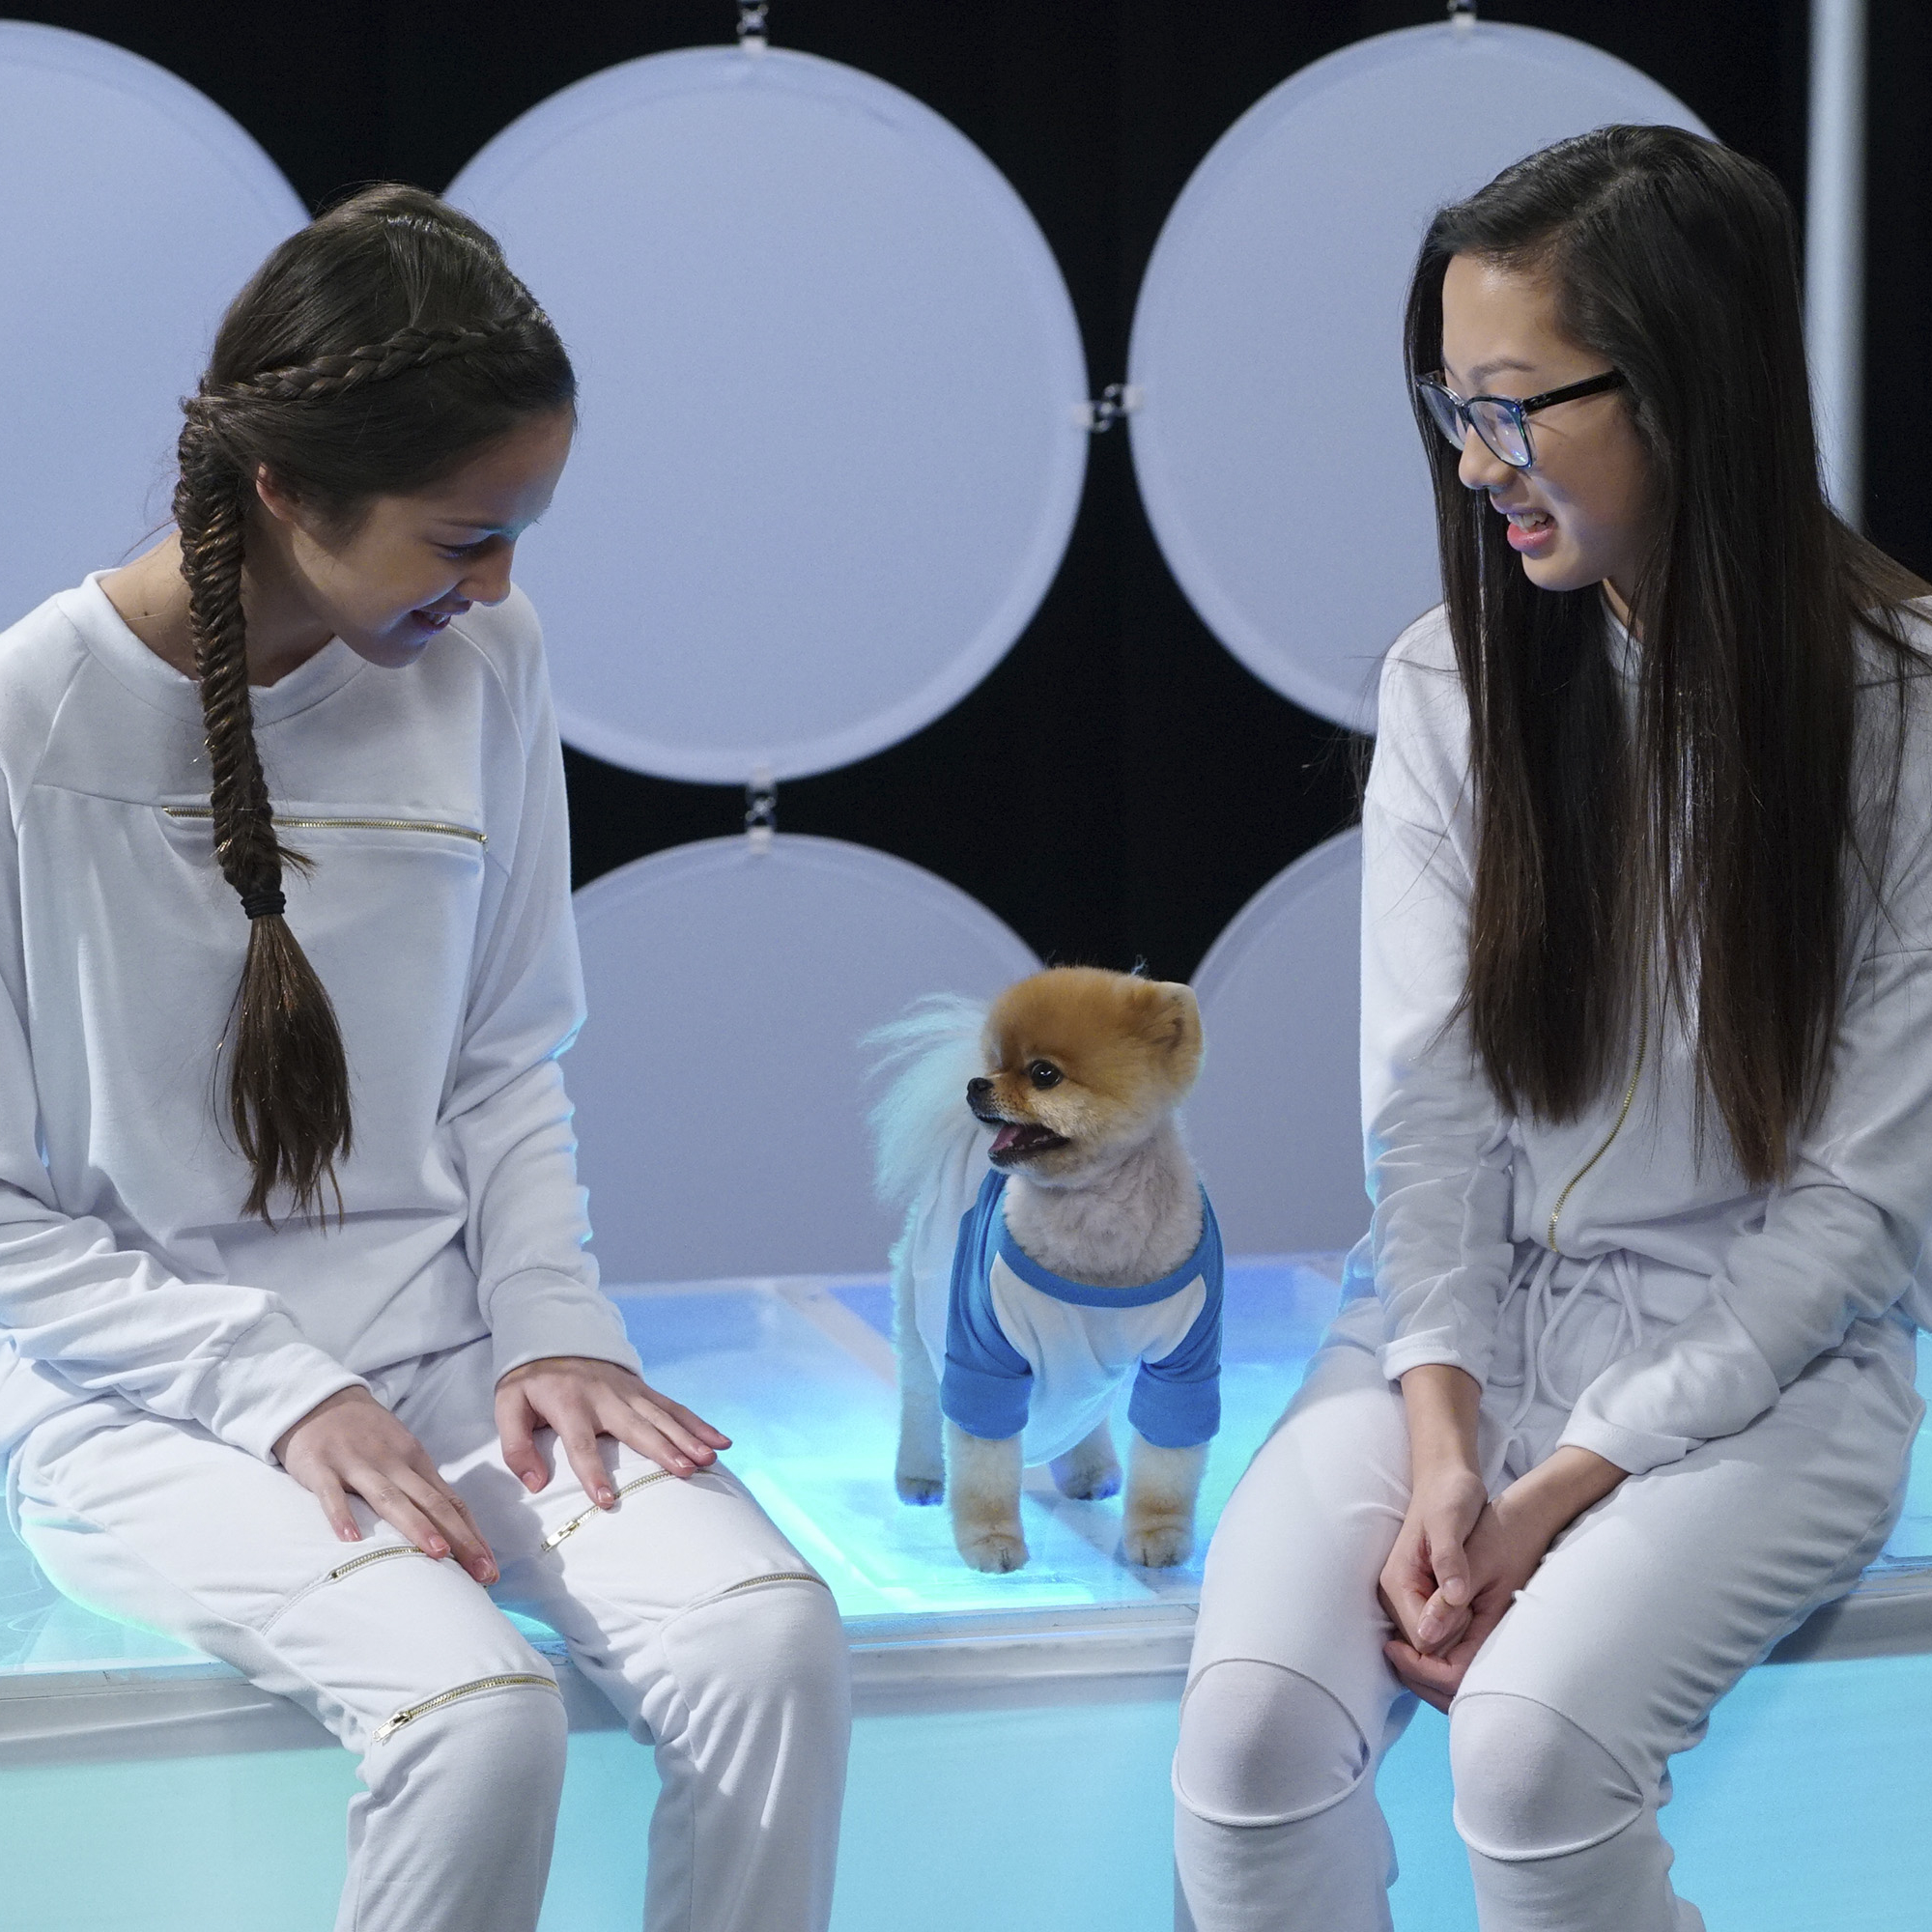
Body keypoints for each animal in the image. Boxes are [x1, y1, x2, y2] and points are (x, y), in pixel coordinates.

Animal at [868, 967, 1221, 1573]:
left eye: (1044, 1074)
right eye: (992, 1061)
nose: (975, 1084)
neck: (1096, 1218)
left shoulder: (1185, 1363)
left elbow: (1166, 1467)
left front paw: (1159, 1537)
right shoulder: (985, 1353)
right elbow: (983, 1463)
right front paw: (991, 1542)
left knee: (1084, 1412)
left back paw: (1090, 1471)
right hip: (922, 1311)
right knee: (921, 1403)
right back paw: (920, 1478)